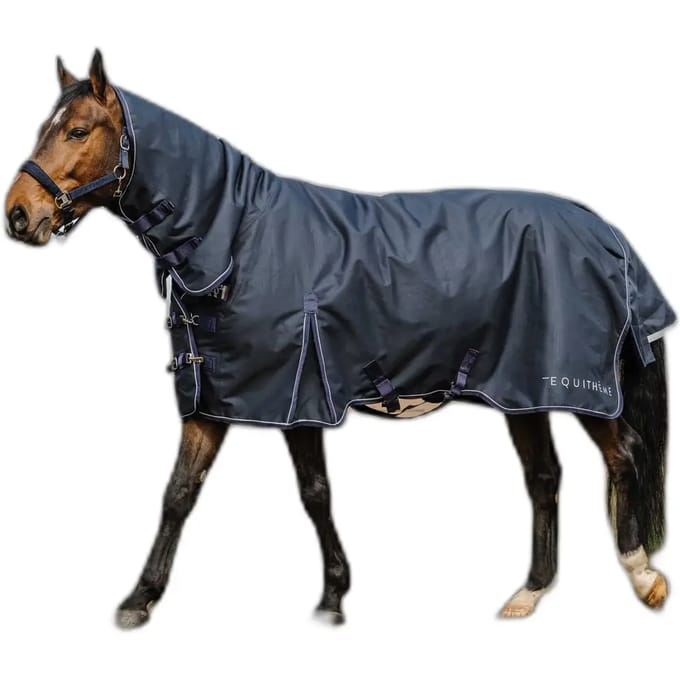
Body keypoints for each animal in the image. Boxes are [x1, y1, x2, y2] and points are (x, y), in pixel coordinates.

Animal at [5, 50, 673, 628]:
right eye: (46, 127)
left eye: (78, 131)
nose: (18, 214)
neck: (239, 237)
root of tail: (607, 235)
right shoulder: (218, 397)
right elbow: (182, 493)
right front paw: (140, 600)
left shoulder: (295, 394)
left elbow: (313, 493)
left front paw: (333, 596)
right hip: (520, 389)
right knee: (544, 477)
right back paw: (529, 593)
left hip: (575, 385)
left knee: (624, 455)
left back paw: (644, 576)